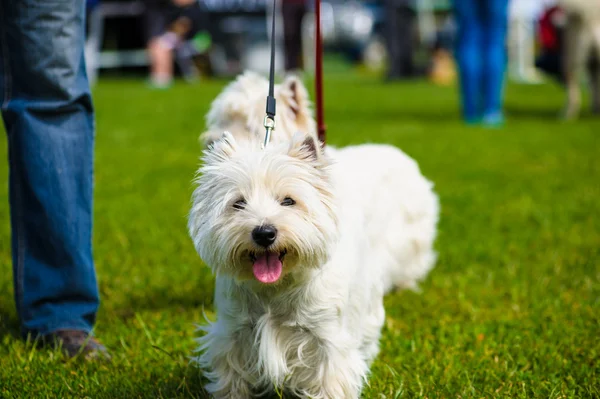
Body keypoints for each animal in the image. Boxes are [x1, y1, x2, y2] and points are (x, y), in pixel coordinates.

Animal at [190, 73, 438, 398]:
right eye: (238, 203)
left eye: (288, 201)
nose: (264, 233)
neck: (275, 289)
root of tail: (398, 152)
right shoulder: (233, 331)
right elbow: (231, 375)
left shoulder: (327, 338)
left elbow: (331, 378)